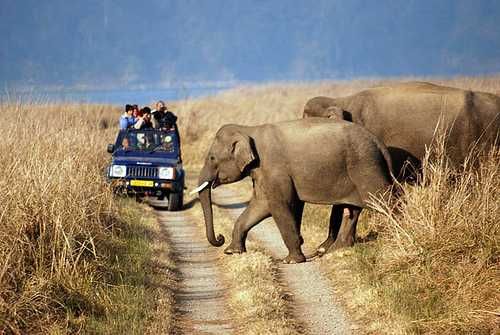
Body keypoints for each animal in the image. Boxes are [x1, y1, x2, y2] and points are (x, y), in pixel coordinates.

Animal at [195, 119, 394, 264]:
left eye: (212, 158)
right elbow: (261, 205)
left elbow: (279, 205)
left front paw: (291, 261)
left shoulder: (274, 169)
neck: (249, 129)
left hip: (366, 167)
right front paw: (233, 252)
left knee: (385, 202)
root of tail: (379, 143)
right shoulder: (262, 172)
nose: (219, 238)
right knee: (352, 209)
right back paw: (336, 250)